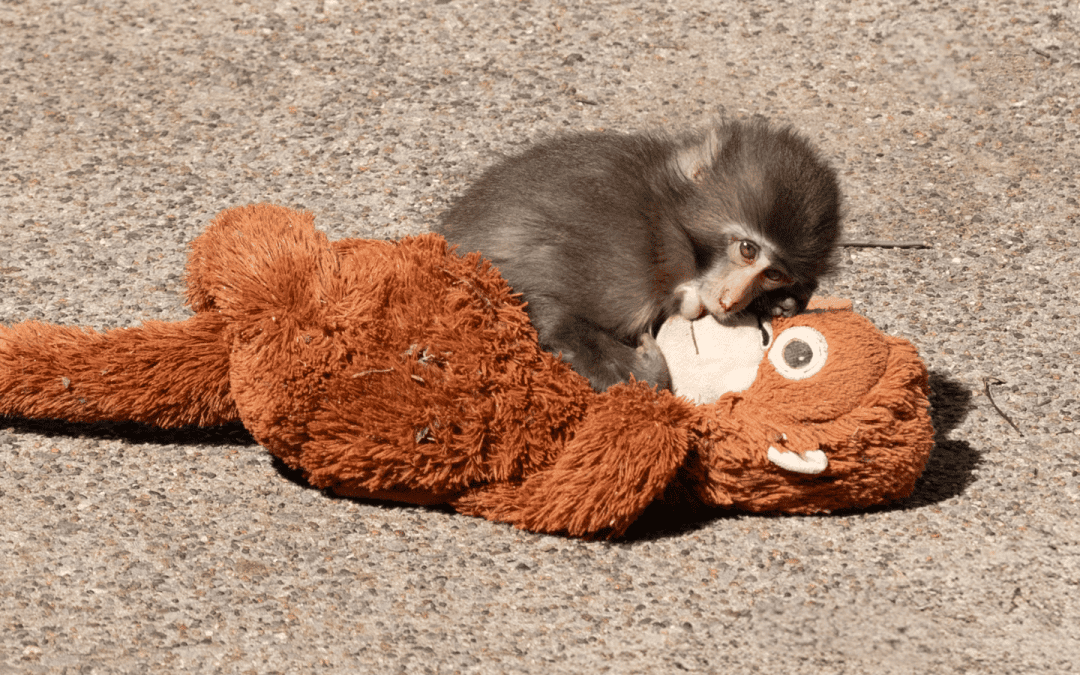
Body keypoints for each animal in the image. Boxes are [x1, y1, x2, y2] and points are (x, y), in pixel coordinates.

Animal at [436, 119, 842, 392]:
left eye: (774, 274)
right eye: (747, 250)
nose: (733, 300)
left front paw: (780, 303)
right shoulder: (622, 257)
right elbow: (537, 301)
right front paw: (645, 370)